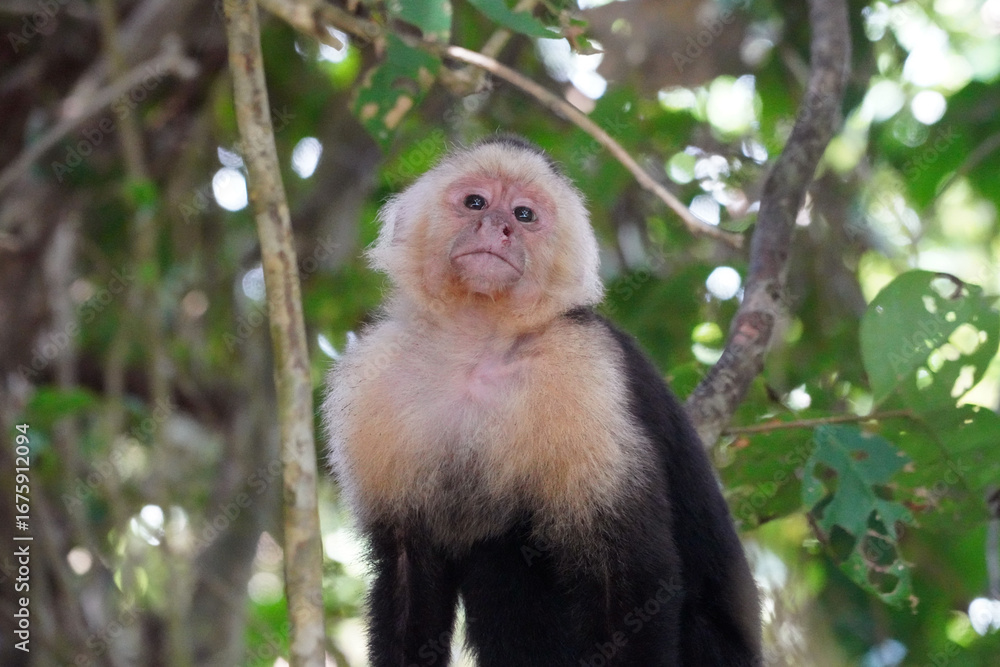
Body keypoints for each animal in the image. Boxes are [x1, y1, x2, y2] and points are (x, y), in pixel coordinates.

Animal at [323, 135, 762, 666]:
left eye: (524, 214)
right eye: (476, 203)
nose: (499, 226)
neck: (477, 348)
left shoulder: (585, 367)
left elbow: (628, 580)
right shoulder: (371, 382)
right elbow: (408, 567)